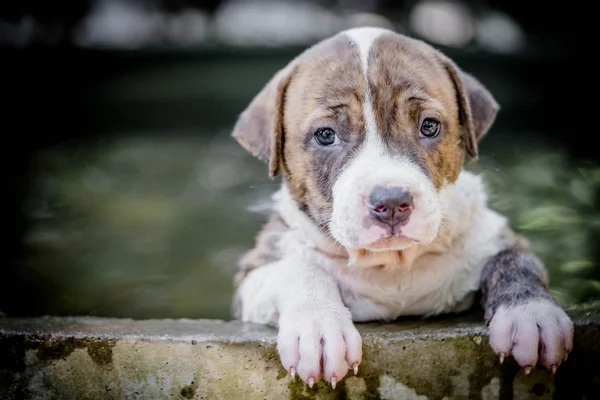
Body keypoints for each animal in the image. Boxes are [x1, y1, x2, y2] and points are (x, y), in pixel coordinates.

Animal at [229, 27, 572, 388]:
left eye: (429, 126)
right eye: (325, 135)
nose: (392, 201)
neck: (392, 265)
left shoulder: (492, 235)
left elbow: (514, 260)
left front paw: (531, 315)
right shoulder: (253, 275)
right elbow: (298, 269)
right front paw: (317, 327)